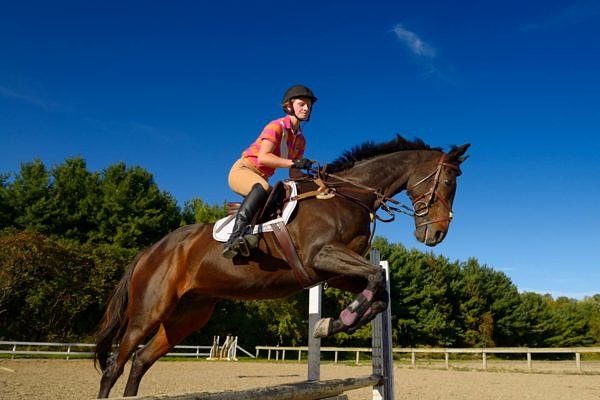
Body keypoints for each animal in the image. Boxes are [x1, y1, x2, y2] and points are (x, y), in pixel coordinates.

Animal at [94, 135, 472, 396]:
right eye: (448, 182)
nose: (436, 234)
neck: (349, 195)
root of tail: (150, 250)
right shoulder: (321, 256)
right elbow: (377, 276)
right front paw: (334, 322)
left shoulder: (335, 271)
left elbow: (378, 292)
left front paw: (332, 324)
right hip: (149, 310)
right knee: (114, 366)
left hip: (187, 315)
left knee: (140, 362)